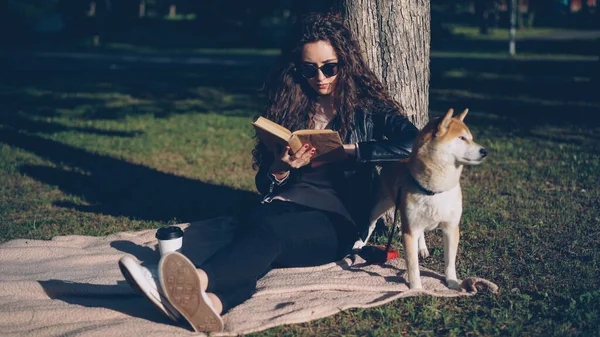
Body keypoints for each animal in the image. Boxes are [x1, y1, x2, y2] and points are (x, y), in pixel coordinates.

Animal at [356, 108, 488, 288]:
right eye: (461, 138)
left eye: (471, 138)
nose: (484, 151)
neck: (436, 190)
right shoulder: (409, 231)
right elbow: (413, 267)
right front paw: (416, 288)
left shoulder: (451, 228)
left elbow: (450, 262)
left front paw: (452, 282)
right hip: (381, 205)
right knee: (371, 223)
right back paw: (360, 243)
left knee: (422, 233)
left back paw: (423, 248)